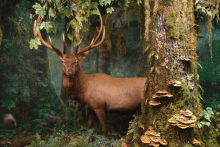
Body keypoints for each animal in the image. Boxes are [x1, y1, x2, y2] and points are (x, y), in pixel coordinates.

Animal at [33, 8, 147, 138]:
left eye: (77, 61)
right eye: (63, 61)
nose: (70, 72)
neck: (84, 91)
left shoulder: (99, 106)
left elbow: (105, 130)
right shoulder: (92, 108)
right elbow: (88, 127)